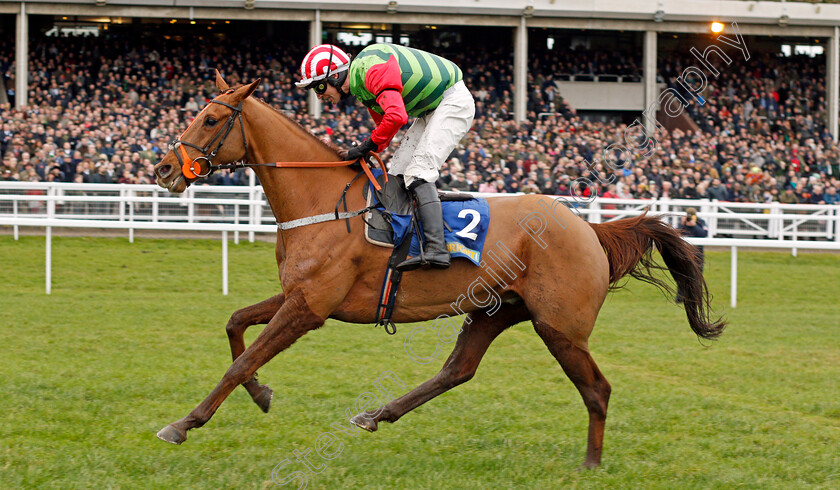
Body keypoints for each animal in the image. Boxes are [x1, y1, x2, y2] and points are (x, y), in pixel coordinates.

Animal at [149, 72, 720, 468]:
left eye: (209, 119)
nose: (163, 168)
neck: (321, 201)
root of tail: (588, 230)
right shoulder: (296, 296)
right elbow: (235, 324)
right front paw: (262, 394)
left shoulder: (309, 308)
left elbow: (240, 361)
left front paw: (183, 423)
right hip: (495, 310)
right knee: (457, 370)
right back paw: (376, 414)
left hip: (560, 327)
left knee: (596, 390)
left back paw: (591, 463)